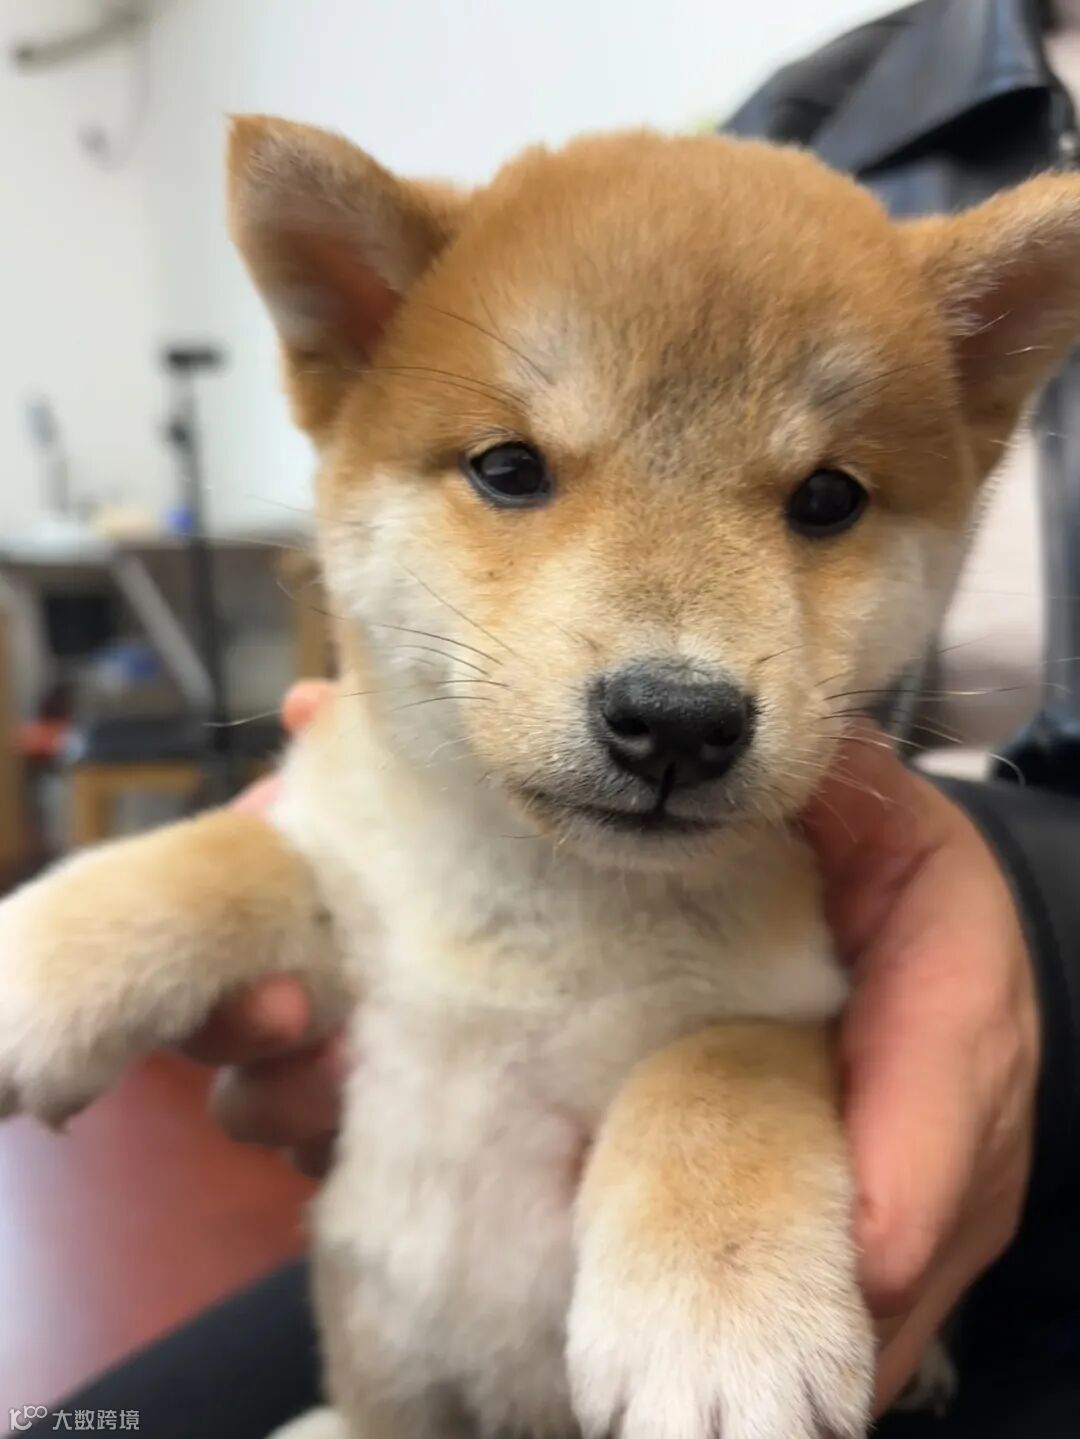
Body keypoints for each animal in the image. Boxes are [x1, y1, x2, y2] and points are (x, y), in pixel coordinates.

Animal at [1, 119, 1078, 1439]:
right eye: (510, 469)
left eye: (829, 497)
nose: (676, 720)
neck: (538, 905)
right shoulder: (355, 944)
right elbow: (237, 854)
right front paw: (42, 960)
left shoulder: (792, 997)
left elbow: (713, 1070)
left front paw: (719, 1314)